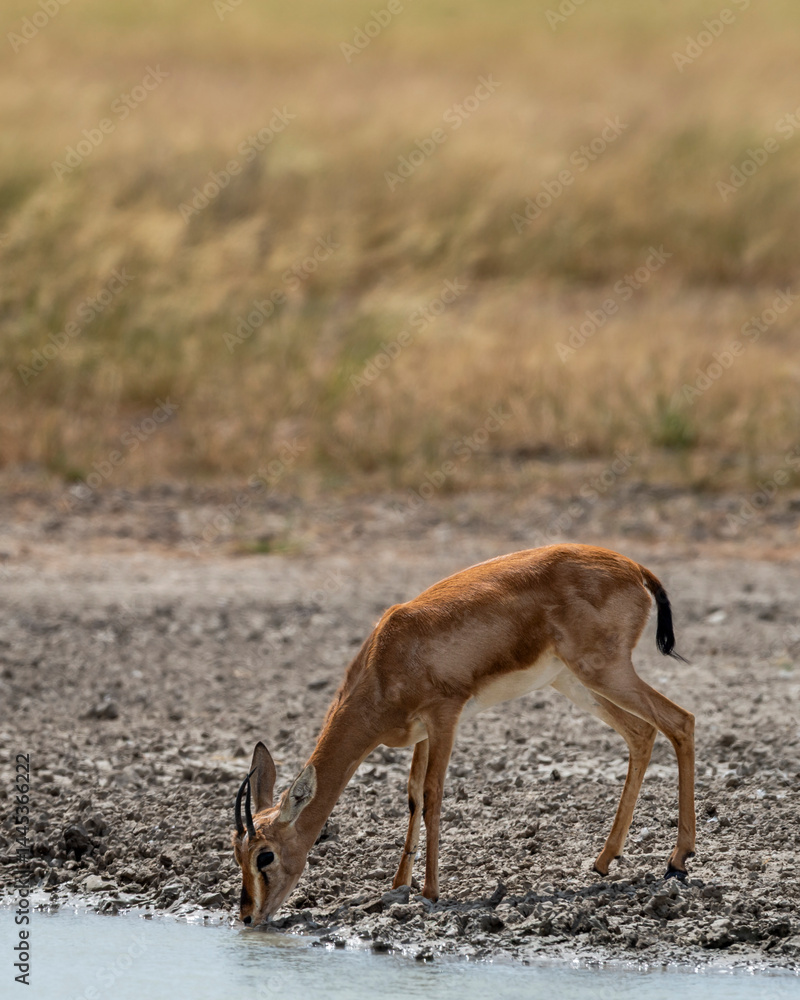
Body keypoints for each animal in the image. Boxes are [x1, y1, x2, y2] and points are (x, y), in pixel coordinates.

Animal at [232, 543, 694, 926]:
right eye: (236, 854)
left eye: (264, 855)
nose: (249, 916)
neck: (388, 658)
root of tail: (634, 567)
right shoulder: (419, 733)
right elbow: (413, 796)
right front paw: (399, 884)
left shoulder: (445, 716)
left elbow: (434, 795)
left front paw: (431, 892)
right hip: (575, 683)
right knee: (641, 733)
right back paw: (604, 860)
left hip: (604, 672)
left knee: (680, 721)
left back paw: (678, 860)